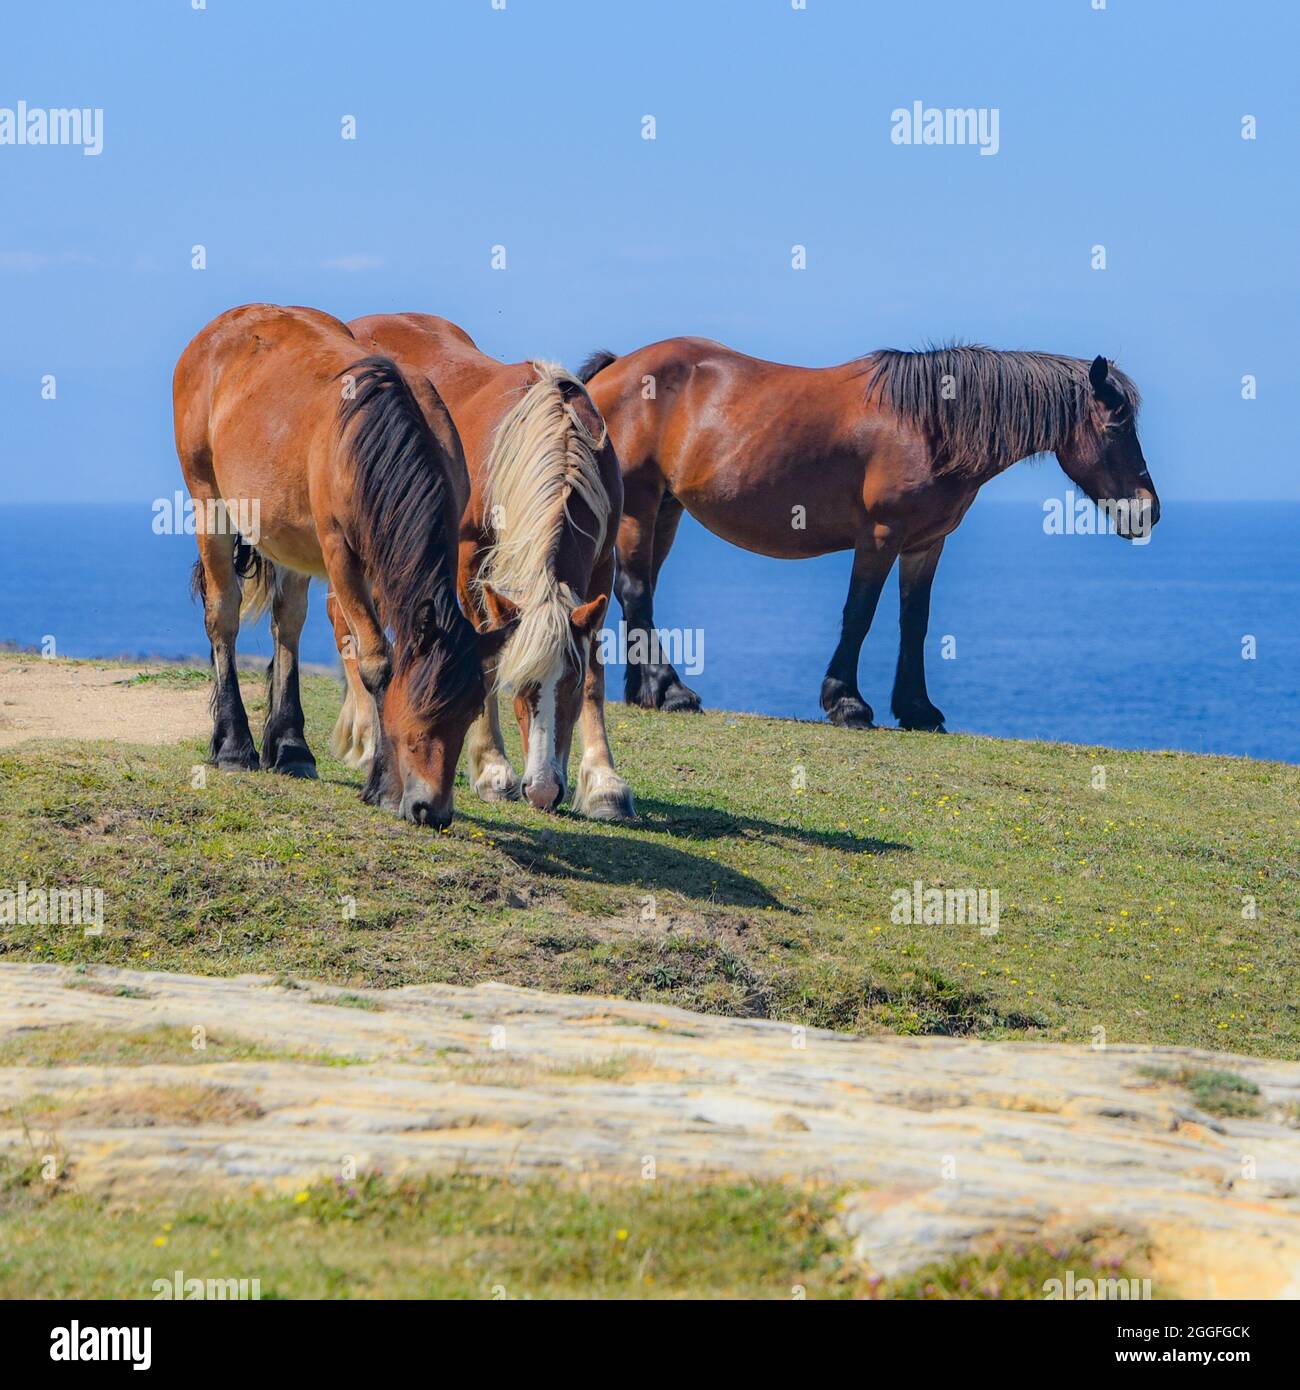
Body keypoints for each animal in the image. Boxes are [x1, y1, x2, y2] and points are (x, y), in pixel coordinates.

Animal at [173, 304, 517, 828]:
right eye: (419, 706)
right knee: (223, 615)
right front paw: (384, 785)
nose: (432, 810)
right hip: (207, 499)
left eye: (469, 709)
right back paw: (234, 744)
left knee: (288, 623)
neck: (372, 441)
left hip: (288, 534)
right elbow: (376, 661)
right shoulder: (342, 558)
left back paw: (290, 746)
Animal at [330, 313, 635, 820]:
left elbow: (596, 671)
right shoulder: (469, 561)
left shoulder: (601, 567)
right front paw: (493, 768)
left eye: (567, 688)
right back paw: (370, 740)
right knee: (344, 619)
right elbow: (486, 660)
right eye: (521, 688)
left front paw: (604, 784)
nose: (543, 791)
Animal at [578, 341, 1160, 731]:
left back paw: (646, 690)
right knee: (636, 591)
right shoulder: (880, 537)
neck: (929, 425)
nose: (1148, 510)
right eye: (1115, 427)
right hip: (641, 506)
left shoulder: (925, 544)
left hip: (666, 508)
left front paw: (918, 708)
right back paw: (671, 689)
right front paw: (847, 701)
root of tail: (613, 372)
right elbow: (859, 614)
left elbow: (914, 622)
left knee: (640, 594)